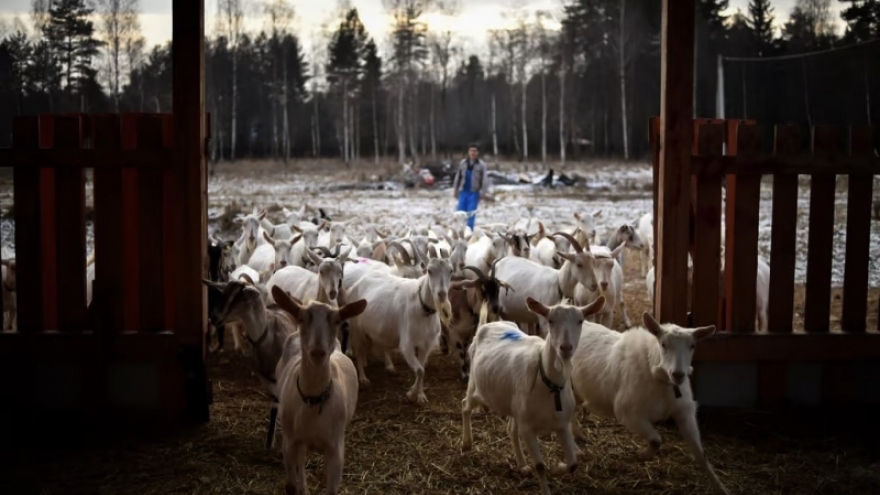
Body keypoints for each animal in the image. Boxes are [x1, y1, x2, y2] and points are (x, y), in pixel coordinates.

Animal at [568, 314, 732, 495]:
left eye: (692, 346)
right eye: (663, 344)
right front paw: (643, 455)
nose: (678, 374)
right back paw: (576, 449)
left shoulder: (684, 411)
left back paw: (579, 435)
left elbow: (702, 455)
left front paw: (721, 487)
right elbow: (656, 440)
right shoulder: (629, 413)